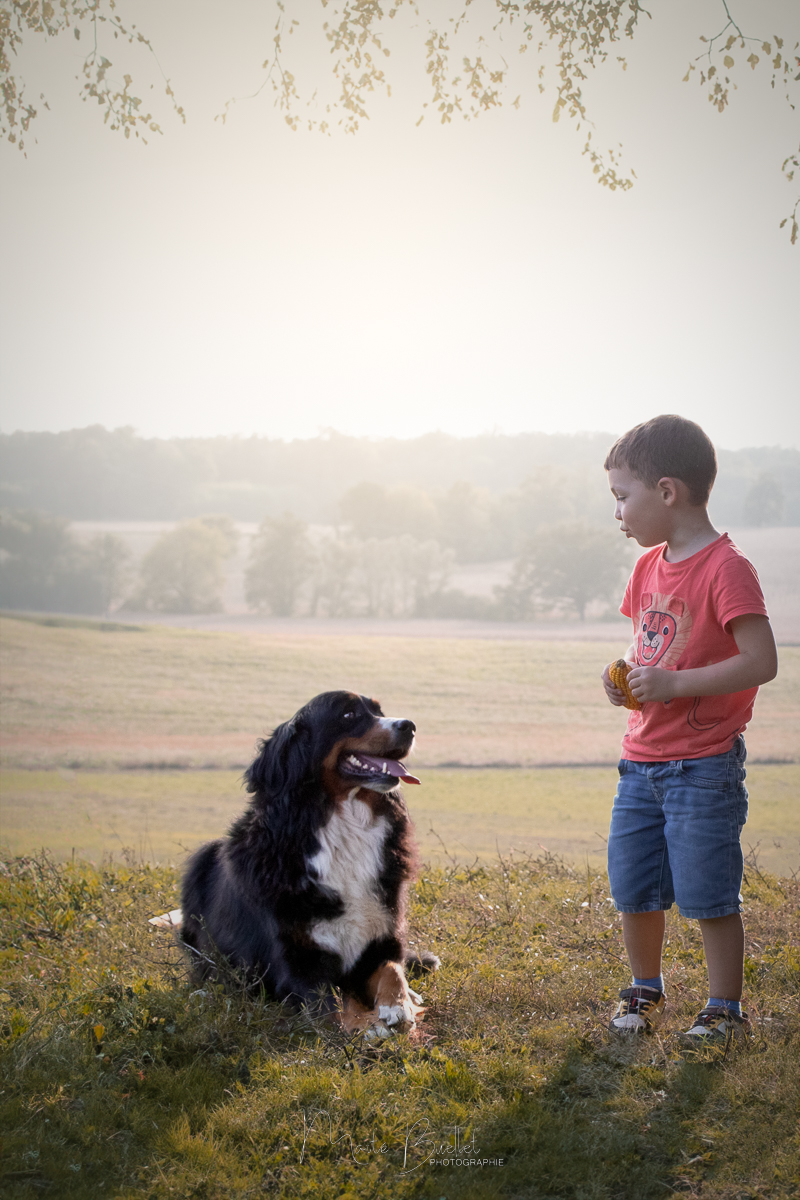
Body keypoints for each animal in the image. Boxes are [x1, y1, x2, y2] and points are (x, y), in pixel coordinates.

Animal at [155, 696, 441, 1041]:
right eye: (348, 714)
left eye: (379, 712)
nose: (409, 726)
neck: (343, 825)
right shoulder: (295, 964)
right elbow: (333, 1011)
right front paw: (368, 1025)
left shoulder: (382, 935)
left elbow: (392, 970)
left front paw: (399, 1005)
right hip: (203, 859)